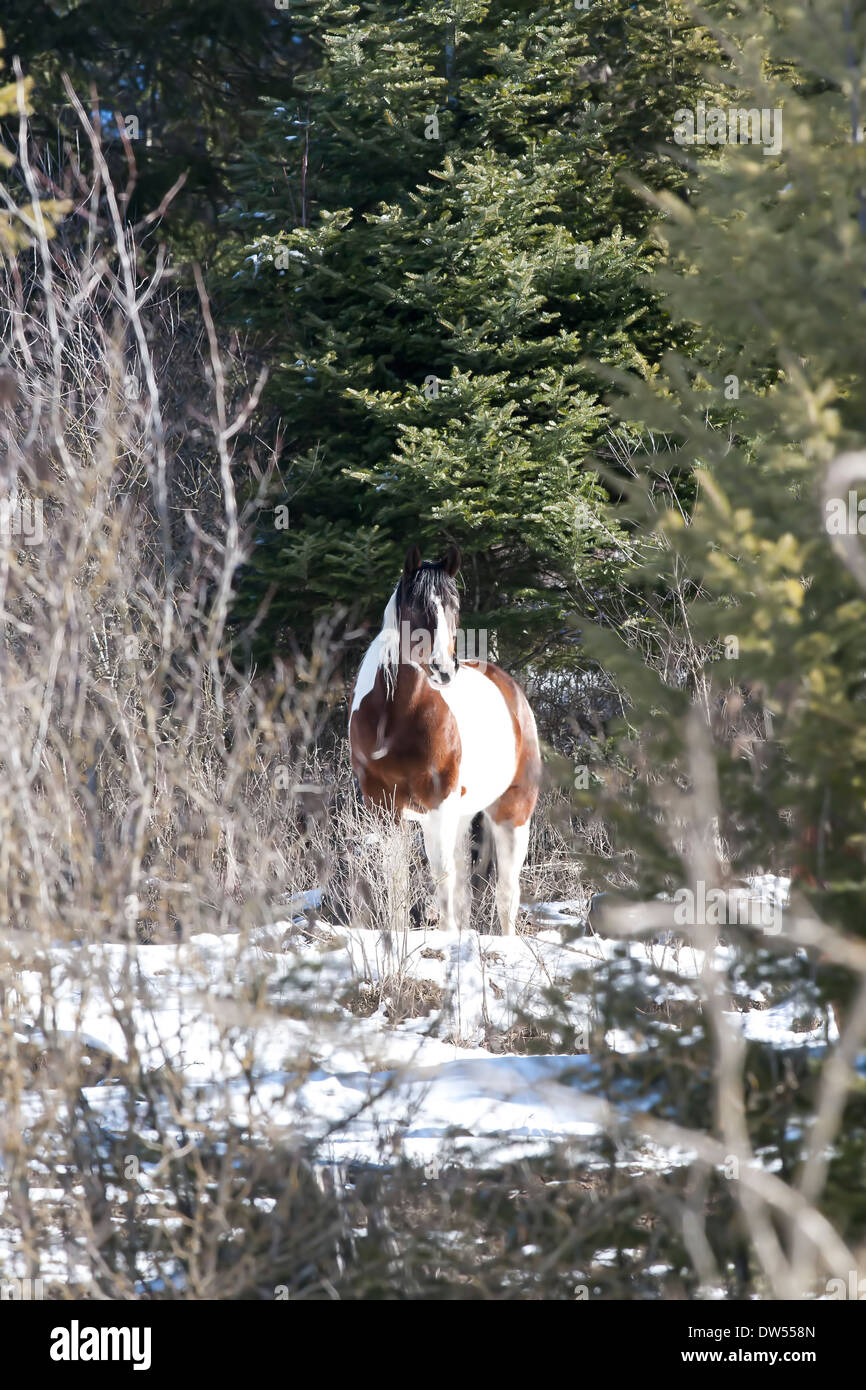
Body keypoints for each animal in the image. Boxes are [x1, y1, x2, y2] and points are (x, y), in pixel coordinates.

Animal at [347, 542, 539, 934]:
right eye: (415, 606)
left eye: (455, 605)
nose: (444, 669)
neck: (395, 719)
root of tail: (513, 691)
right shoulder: (384, 806)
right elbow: (398, 879)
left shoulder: (438, 804)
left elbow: (442, 880)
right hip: (460, 816)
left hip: (512, 814)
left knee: (505, 896)